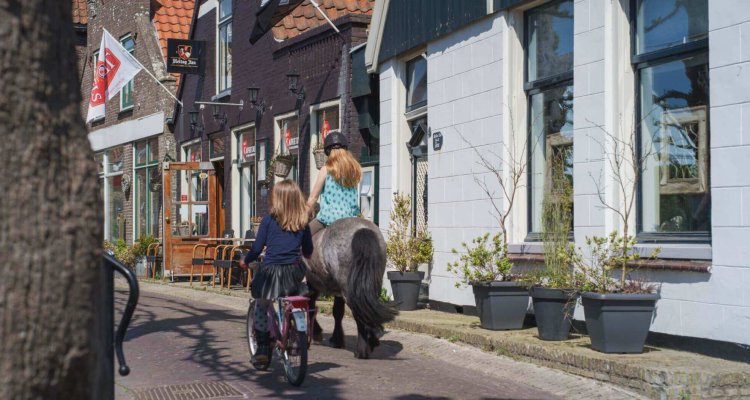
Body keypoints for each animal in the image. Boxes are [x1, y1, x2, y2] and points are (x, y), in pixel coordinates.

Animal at [304, 217, 400, 358]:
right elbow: (337, 312)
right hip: (370, 286)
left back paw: (362, 351)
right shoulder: (336, 290)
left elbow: (311, 307)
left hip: (349, 291)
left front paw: (317, 334)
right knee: (368, 309)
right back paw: (372, 340)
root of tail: (361, 229)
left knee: (359, 313)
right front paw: (336, 340)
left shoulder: (312, 285)